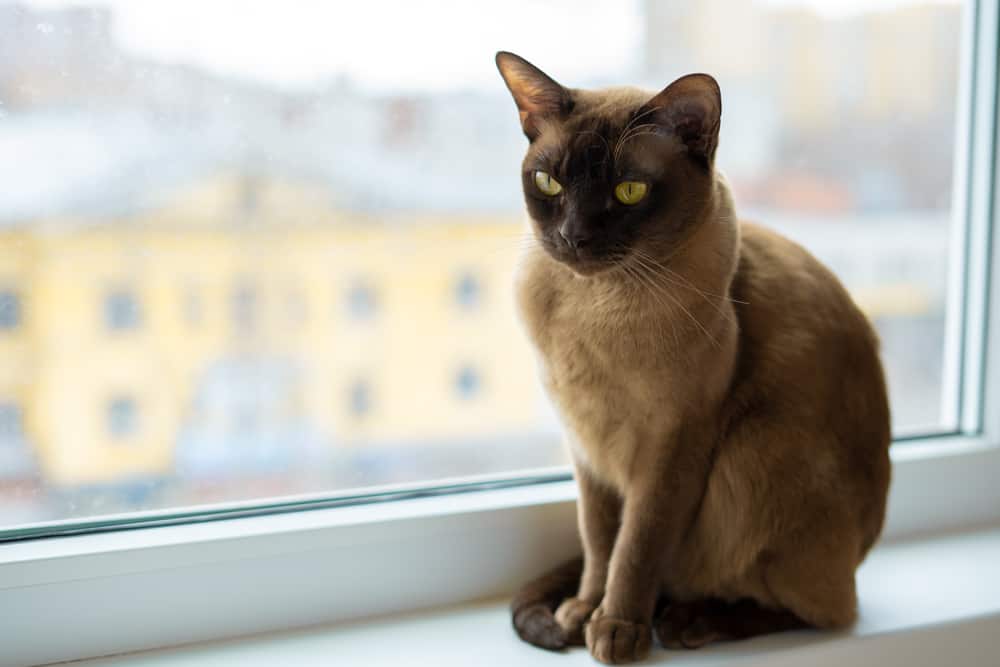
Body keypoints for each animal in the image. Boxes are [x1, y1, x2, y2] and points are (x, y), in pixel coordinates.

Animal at [496, 51, 896, 664]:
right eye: (549, 182)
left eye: (630, 191)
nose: (574, 237)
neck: (594, 309)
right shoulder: (586, 448)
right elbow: (599, 542)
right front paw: (584, 612)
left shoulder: (672, 444)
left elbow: (635, 547)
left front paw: (617, 628)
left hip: (753, 452)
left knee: (824, 610)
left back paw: (689, 622)